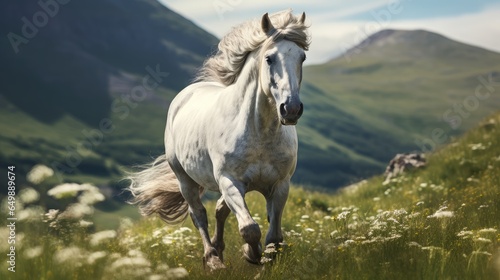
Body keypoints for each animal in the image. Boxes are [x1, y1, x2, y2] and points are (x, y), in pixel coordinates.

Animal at [128, 10, 308, 270]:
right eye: (269, 58)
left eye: (302, 57)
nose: (291, 109)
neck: (259, 132)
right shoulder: (229, 180)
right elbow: (249, 228)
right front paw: (251, 254)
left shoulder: (280, 185)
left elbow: (273, 236)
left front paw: (260, 257)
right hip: (185, 179)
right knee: (199, 214)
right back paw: (213, 259)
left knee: (220, 211)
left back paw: (219, 250)